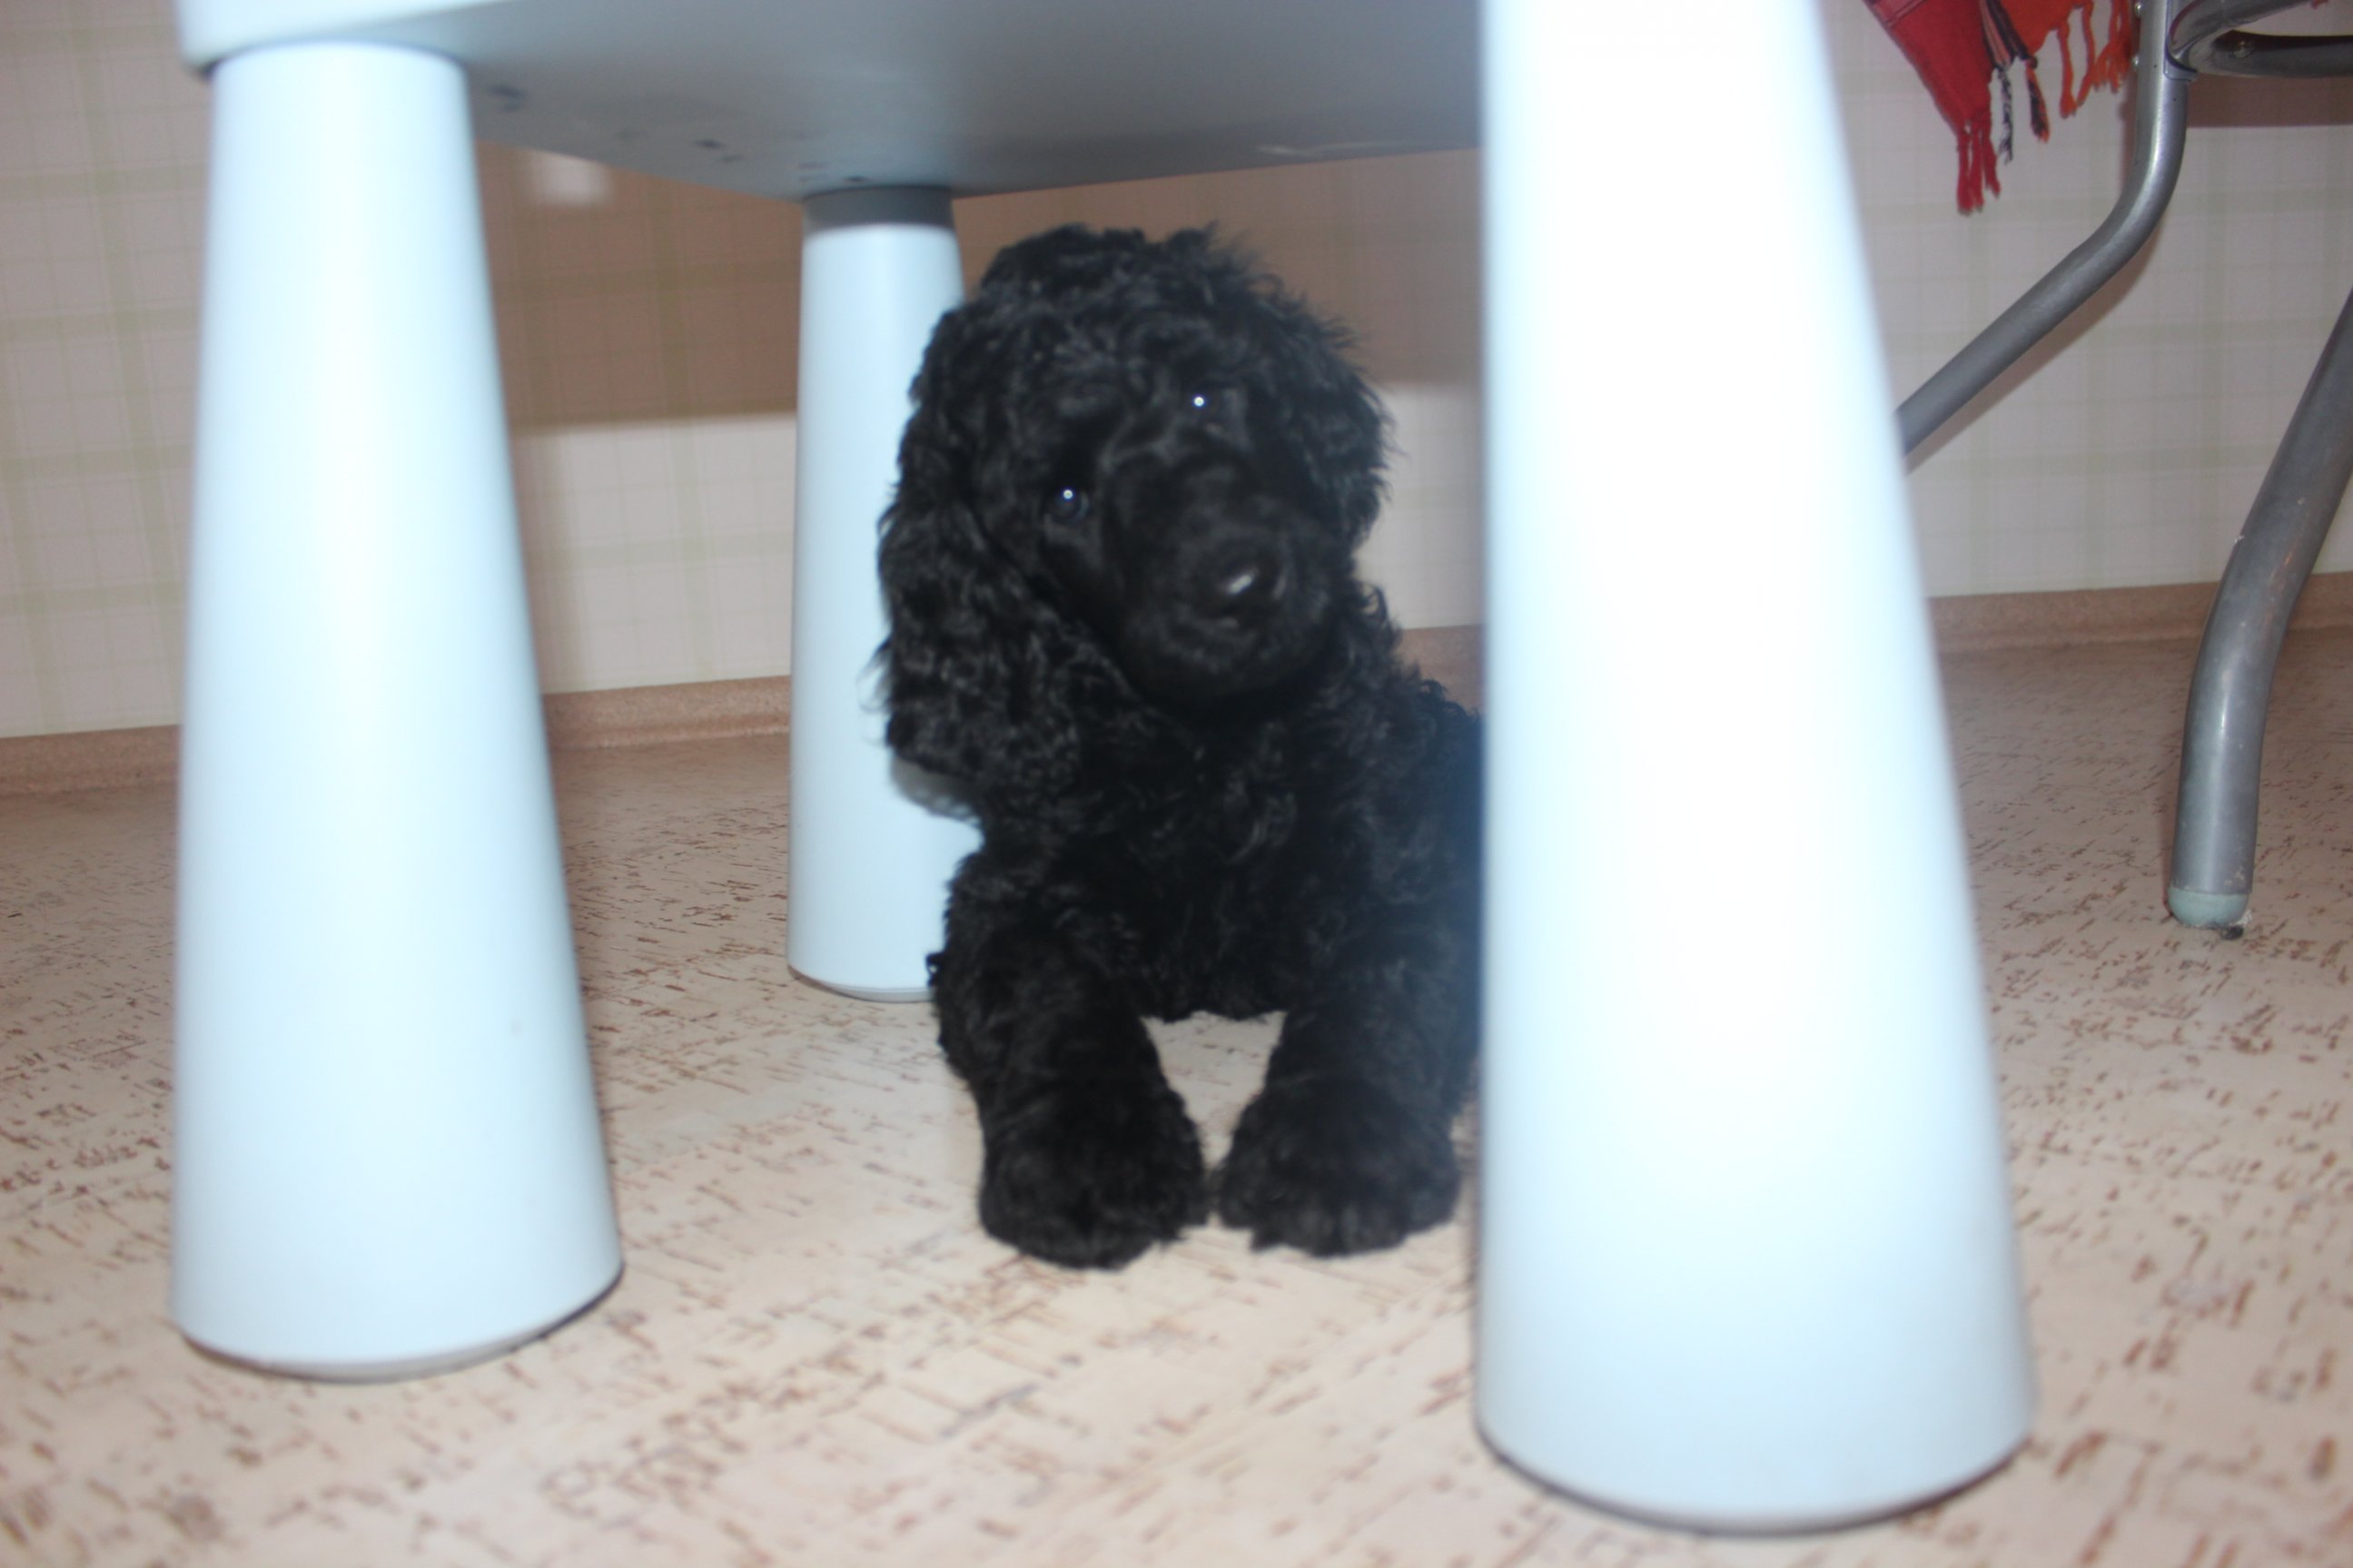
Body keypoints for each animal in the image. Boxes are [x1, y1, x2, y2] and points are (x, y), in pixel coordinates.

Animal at [878, 225, 1480, 1268]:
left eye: (1205, 395)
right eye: (1065, 497)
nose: (1241, 585)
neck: (1214, 749)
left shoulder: (1404, 875)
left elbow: (1378, 991)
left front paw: (1333, 1146)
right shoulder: (1008, 903)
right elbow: (1057, 1007)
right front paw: (1091, 1155)